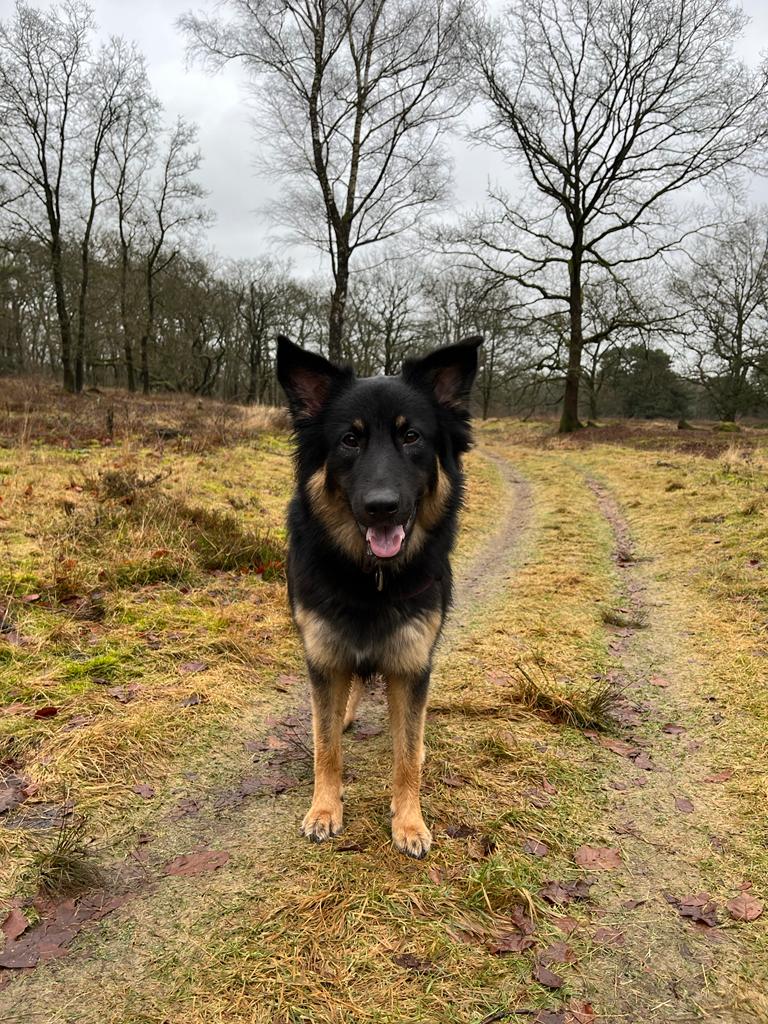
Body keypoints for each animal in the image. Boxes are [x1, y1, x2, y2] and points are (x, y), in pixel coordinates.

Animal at [276, 333, 481, 856]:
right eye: (351, 440)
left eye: (412, 437)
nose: (381, 507)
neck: (372, 578)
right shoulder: (324, 658)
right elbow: (326, 746)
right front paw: (324, 809)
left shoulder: (411, 663)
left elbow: (405, 754)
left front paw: (409, 822)